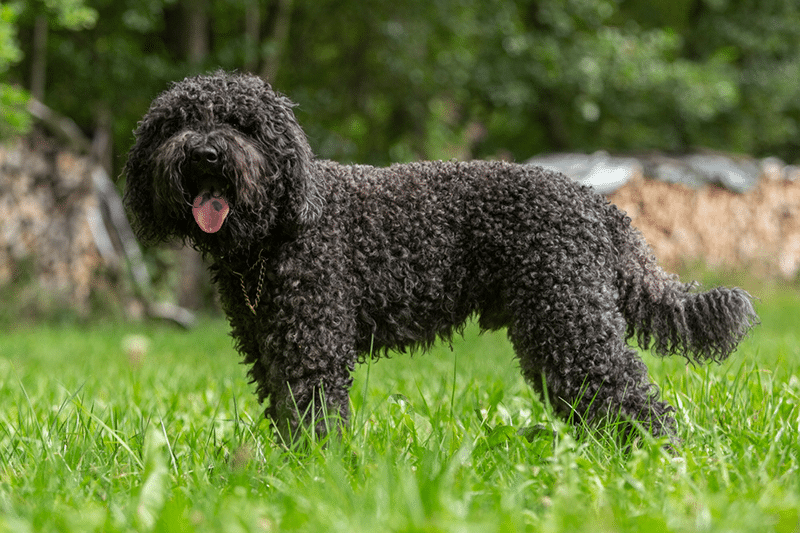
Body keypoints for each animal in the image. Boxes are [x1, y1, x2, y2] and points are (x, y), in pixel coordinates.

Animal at [123, 71, 756, 440]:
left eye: (243, 124)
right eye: (178, 123)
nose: (206, 154)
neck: (280, 229)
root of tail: (595, 204)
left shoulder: (311, 348)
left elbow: (314, 417)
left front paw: (317, 475)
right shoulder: (269, 348)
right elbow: (284, 414)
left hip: (570, 319)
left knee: (629, 395)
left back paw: (658, 458)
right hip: (554, 328)